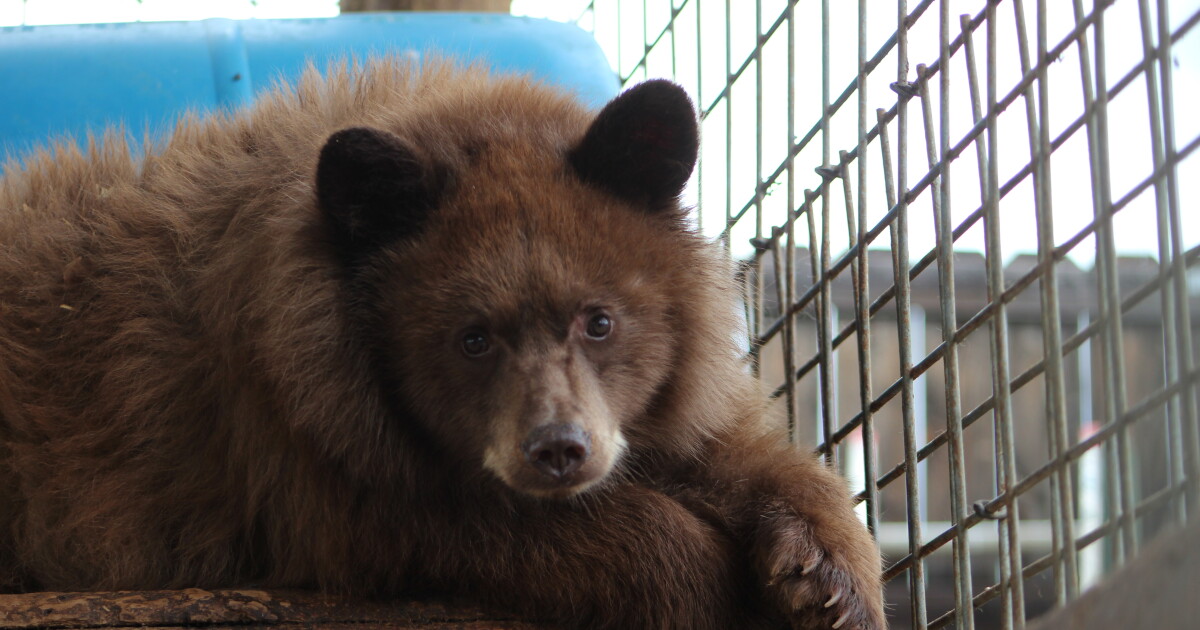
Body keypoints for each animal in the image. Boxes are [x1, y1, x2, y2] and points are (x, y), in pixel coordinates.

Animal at [0, 58, 884, 629]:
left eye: (600, 320)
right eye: (471, 339)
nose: (558, 450)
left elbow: (720, 449)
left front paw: (826, 573)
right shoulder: (298, 445)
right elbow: (448, 523)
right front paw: (712, 582)